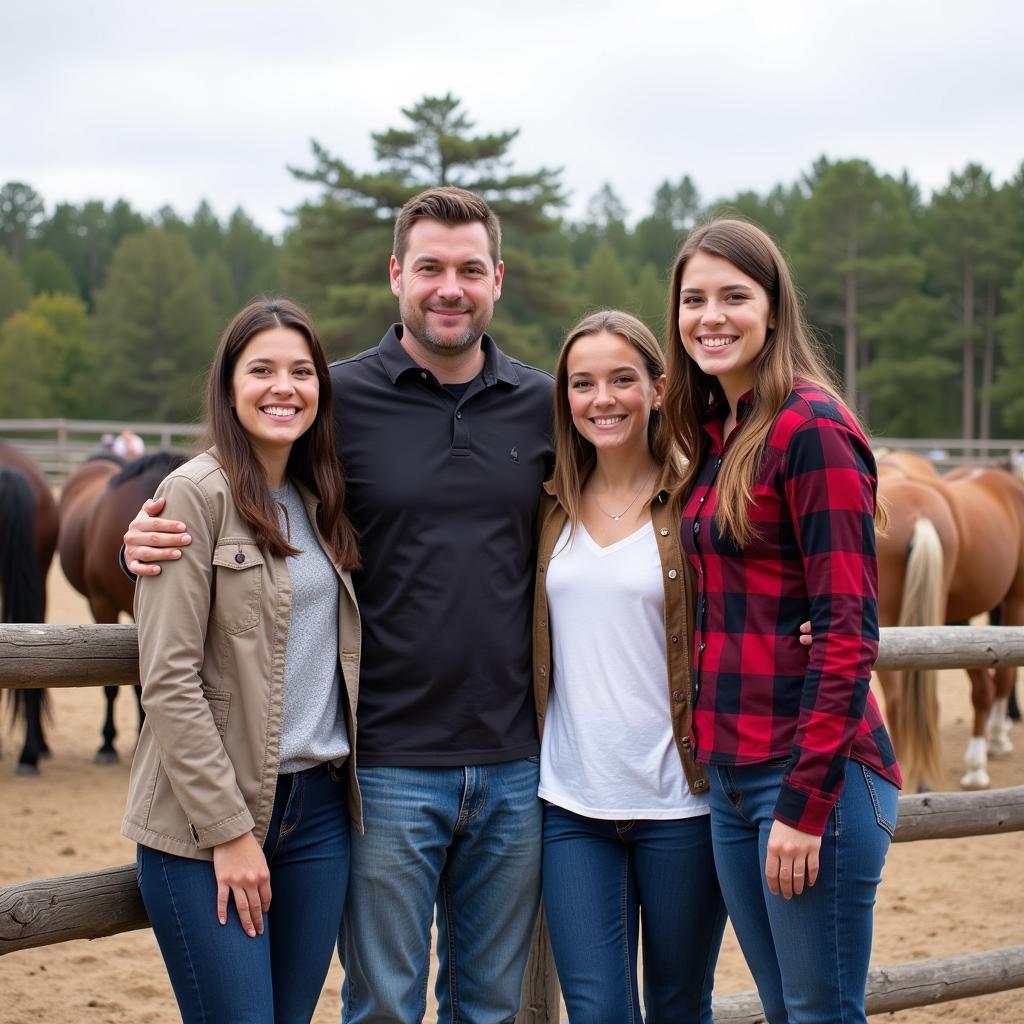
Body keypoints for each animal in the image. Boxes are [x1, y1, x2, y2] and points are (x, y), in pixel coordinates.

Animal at [872, 456, 1024, 790]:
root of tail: (921, 514)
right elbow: (1002, 675)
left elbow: (984, 683)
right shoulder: (1014, 600)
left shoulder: (956, 619)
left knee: (901, 699)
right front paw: (991, 747)